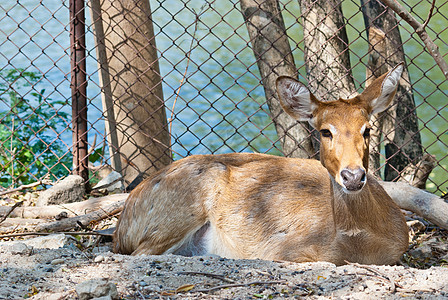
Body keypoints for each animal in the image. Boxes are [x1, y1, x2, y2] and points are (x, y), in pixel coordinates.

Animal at [113, 64, 410, 266]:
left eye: (367, 129)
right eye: (325, 131)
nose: (352, 176)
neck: (359, 241)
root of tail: (121, 225)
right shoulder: (281, 249)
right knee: (139, 254)